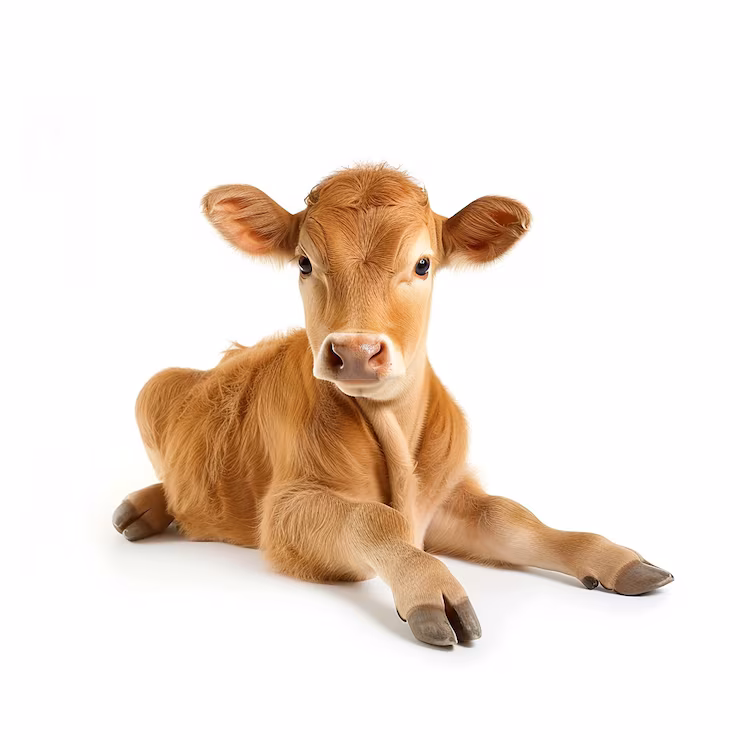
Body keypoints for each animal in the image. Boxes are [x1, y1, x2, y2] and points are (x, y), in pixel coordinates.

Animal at [113, 164, 673, 646]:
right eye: (304, 262)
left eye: (422, 264)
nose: (356, 351)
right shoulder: (286, 510)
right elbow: (374, 520)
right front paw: (430, 588)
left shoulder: (444, 500)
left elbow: (512, 517)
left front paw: (612, 558)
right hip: (150, 390)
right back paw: (140, 508)